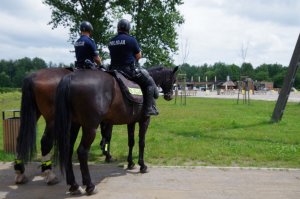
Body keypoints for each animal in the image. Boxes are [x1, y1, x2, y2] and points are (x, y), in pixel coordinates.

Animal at [54, 66, 178, 194]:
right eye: (174, 80)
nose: (170, 96)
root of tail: (71, 77)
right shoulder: (144, 121)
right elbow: (141, 142)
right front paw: (142, 165)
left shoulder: (131, 122)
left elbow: (131, 142)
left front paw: (130, 163)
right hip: (90, 128)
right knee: (82, 152)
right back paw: (90, 186)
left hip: (74, 125)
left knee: (68, 149)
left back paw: (74, 184)